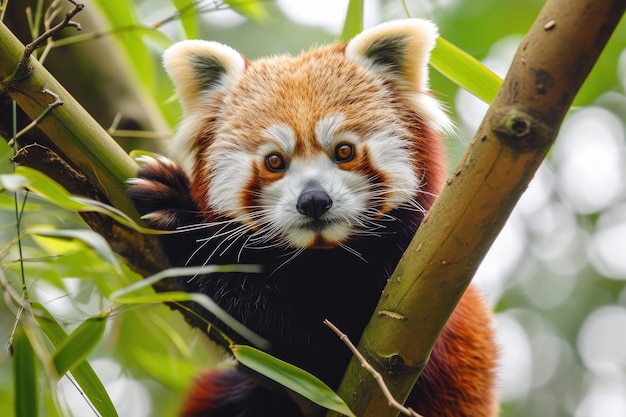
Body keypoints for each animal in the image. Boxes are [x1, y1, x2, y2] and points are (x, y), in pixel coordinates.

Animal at [127, 18, 498, 416]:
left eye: (344, 151)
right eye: (274, 161)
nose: (315, 200)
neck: (322, 257)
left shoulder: (415, 292)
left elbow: (310, 347)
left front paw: (182, 220)